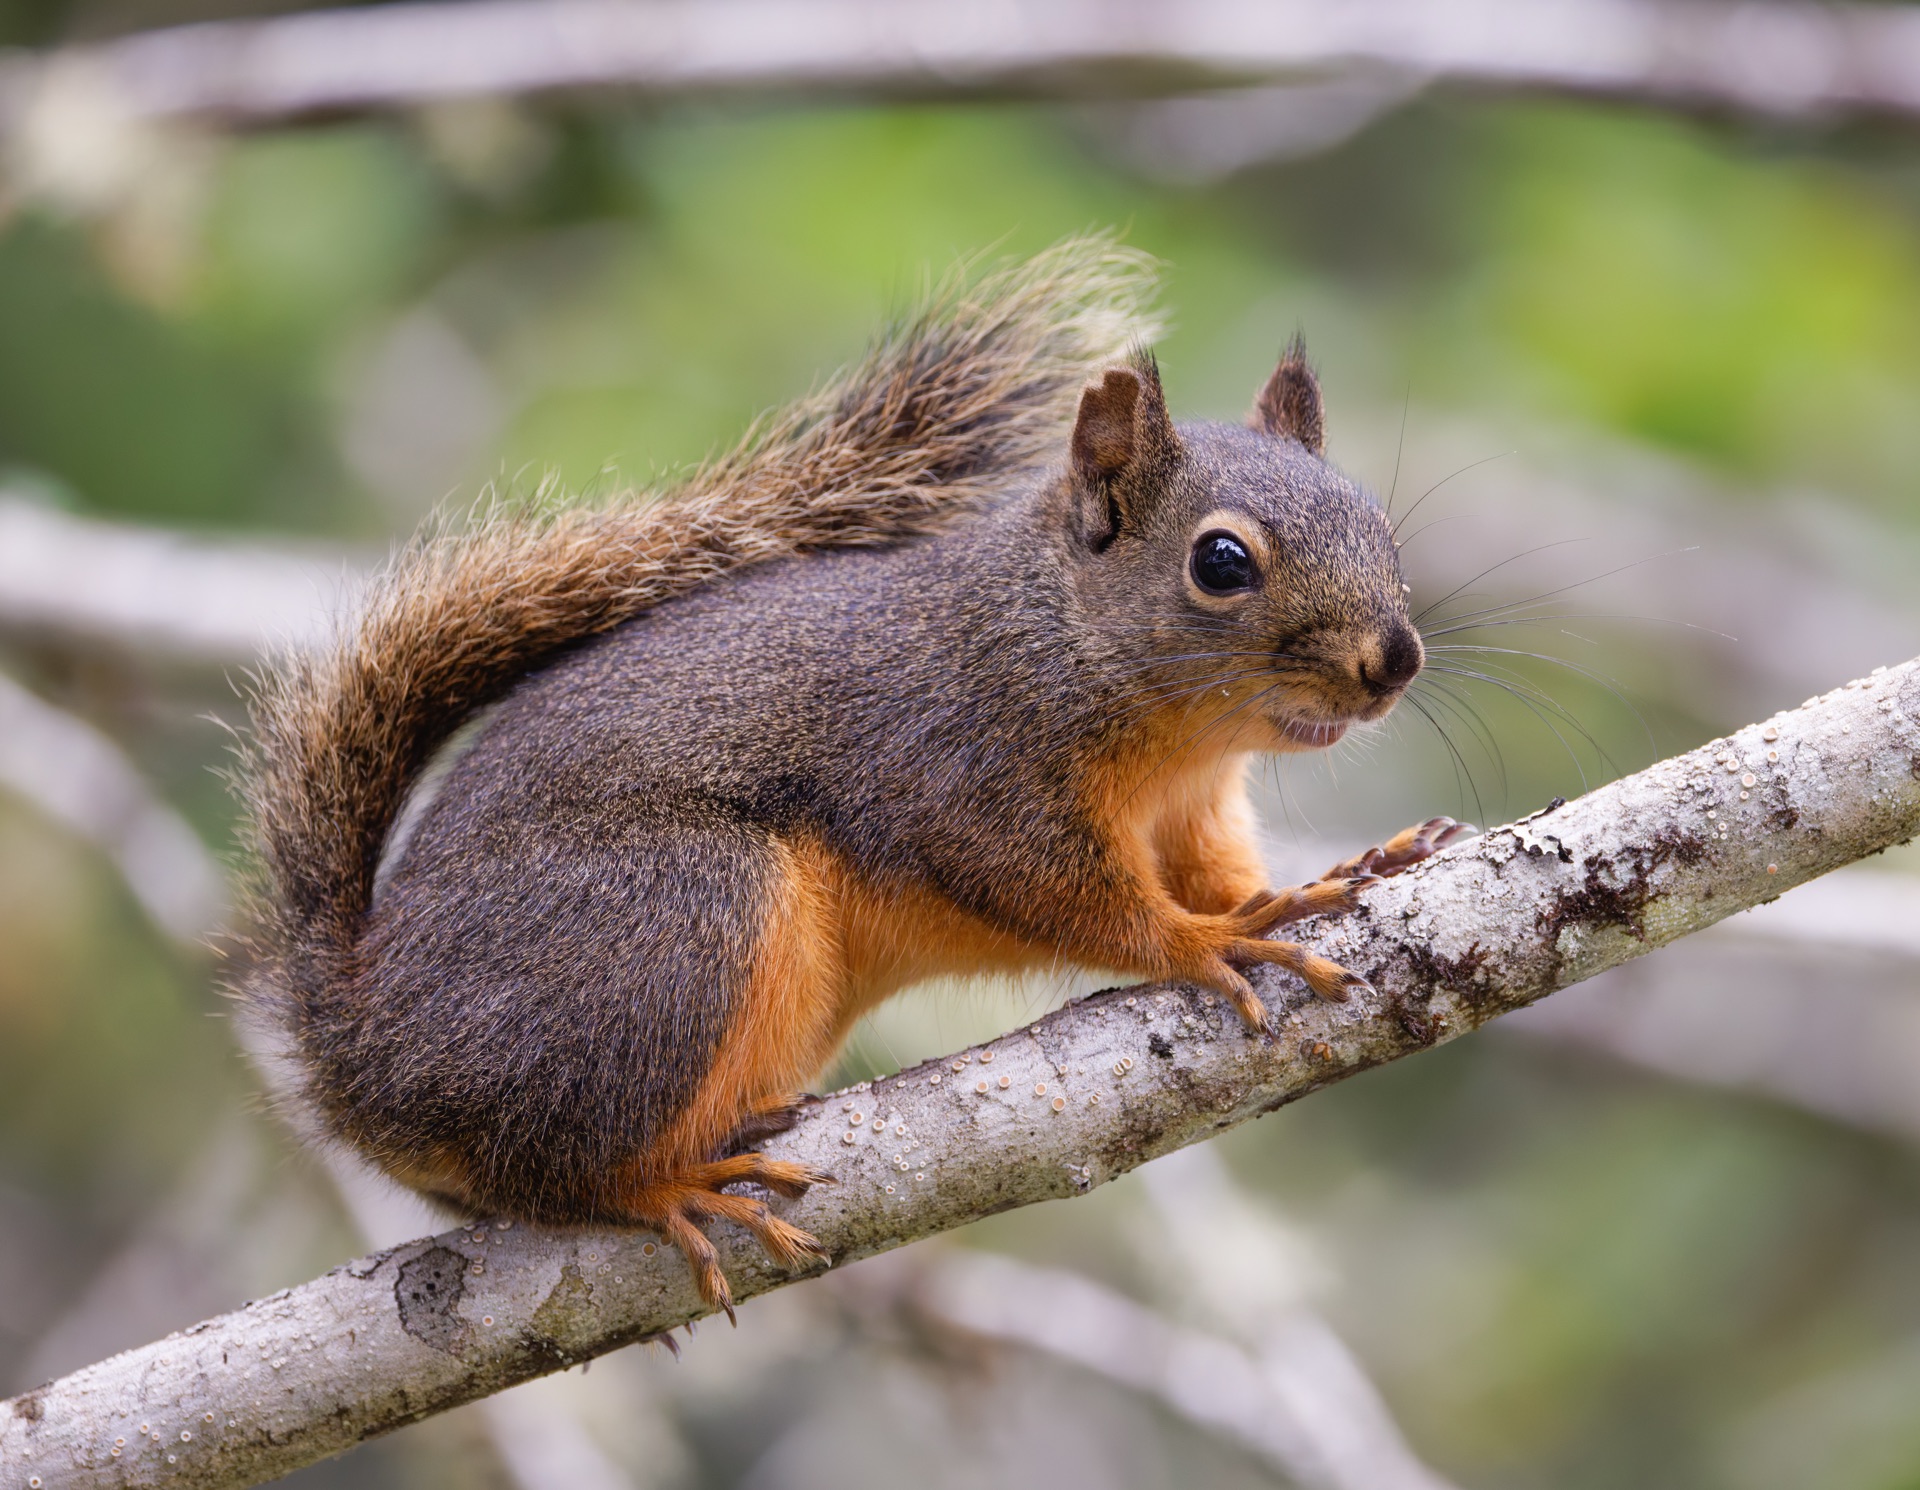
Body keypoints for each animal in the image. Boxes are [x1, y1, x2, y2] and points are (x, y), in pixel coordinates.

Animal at [235, 236, 1464, 1316]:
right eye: (1221, 561)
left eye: (1380, 527)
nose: (1392, 660)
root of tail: (363, 1049)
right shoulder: (964, 768)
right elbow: (1067, 894)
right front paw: (1208, 940)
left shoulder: (1195, 814)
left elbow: (1218, 870)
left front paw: (1336, 872)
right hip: (674, 920)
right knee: (545, 1169)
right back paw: (663, 1186)